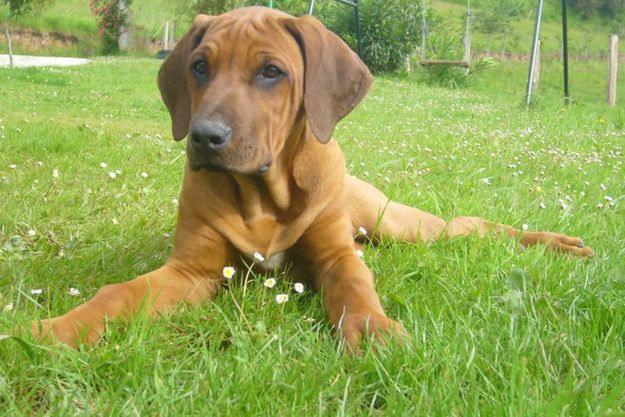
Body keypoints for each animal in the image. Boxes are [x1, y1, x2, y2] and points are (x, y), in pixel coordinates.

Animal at [31, 7, 592, 352]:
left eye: (271, 72)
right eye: (199, 66)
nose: (204, 137)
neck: (262, 195)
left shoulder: (336, 254)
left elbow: (355, 286)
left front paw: (373, 333)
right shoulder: (190, 271)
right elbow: (117, 294)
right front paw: (54, 329)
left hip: (396, 223)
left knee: (468, 225)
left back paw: (558, 244)